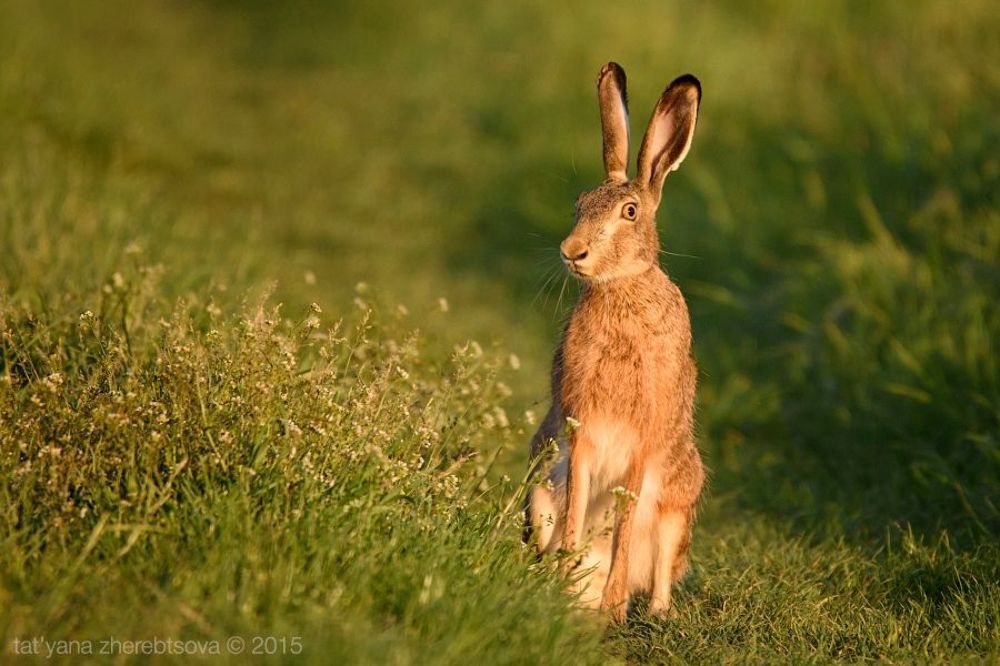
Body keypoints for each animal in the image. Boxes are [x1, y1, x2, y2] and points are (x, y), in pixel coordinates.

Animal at [525, 62, 704, 623]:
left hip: (677, 505)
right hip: (540, 488)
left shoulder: (644, 444)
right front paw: (572, 579)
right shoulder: (580, 431)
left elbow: (625, 520)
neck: (620, 286)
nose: (572, 251)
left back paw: (644, 610)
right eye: (578, 205)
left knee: (663, 566)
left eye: (629, 212)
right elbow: (580, 508)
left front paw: (616, 604)